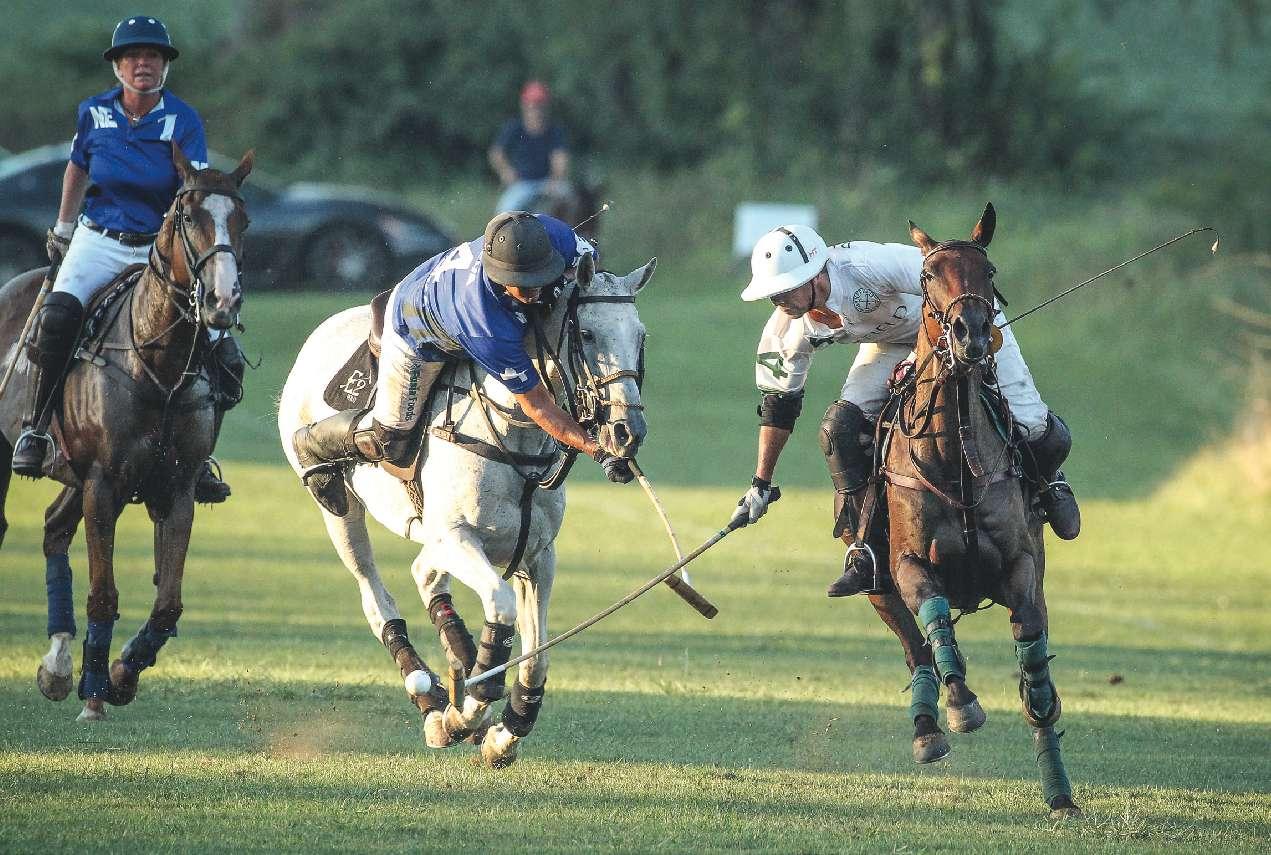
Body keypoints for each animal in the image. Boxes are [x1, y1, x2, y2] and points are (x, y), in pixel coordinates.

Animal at [0, 146, 253, 722]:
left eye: (243, 220)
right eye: (188, 217)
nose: (222, 302)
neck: (156, 362)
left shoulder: (175, 487)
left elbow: (167, 604)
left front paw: (120, 675)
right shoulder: (104, 483)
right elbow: (104, 593)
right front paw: (94, 693)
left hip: (75, 475)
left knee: (53, 528)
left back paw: (57, 665)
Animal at [277, 252, 653, 768]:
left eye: (640, 336)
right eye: (589, 334)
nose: (626, 433)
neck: (512, 431)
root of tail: (323, 329)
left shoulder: (538, 555)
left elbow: (537, 656)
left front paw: (503, 735)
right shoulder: (457, 536)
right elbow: (500, 609)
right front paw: (467, 713)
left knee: (424, 574)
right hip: (345, 514)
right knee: (375, 595)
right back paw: (432, 697)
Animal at [865, 204, 1080, 817]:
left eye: (990, 270)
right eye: (928, 275)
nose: (973, 334)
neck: (952, 458)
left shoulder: (1021, 569)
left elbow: (1034, 663)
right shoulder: (909, 565)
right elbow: (935, 620)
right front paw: (961, 704)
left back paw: (1059, 790)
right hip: (876, 584)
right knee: (916, 651)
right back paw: (927, 729)